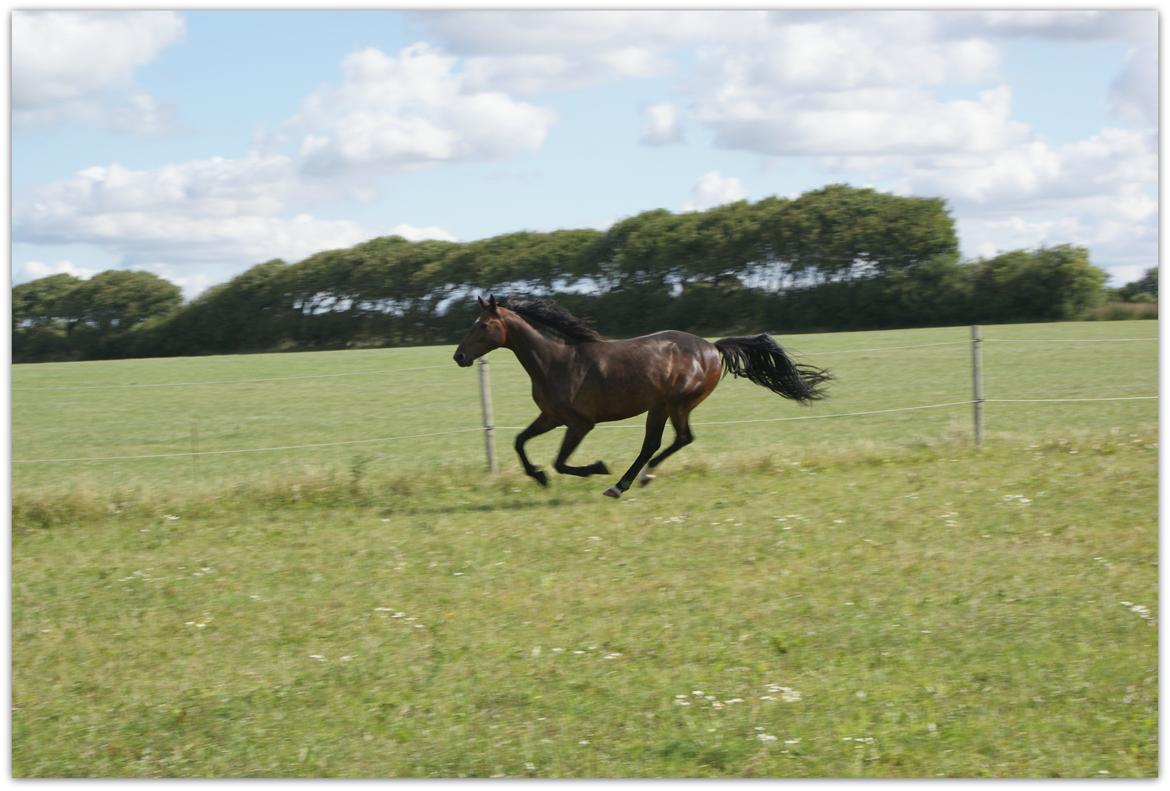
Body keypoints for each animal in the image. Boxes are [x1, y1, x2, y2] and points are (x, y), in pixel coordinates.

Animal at [449, 293, 833, 498]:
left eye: (484, 325)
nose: (459, 356)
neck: (558, 360)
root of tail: (713, 346)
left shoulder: (580, 423)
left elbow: (561, 461)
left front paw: (596, 468)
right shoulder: (551, 417)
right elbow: (519, 442)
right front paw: (539, 476)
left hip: (677, 403)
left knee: (678, 439)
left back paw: (625, 482)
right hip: (660, 406)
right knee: (660, 442)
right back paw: (633, 481)